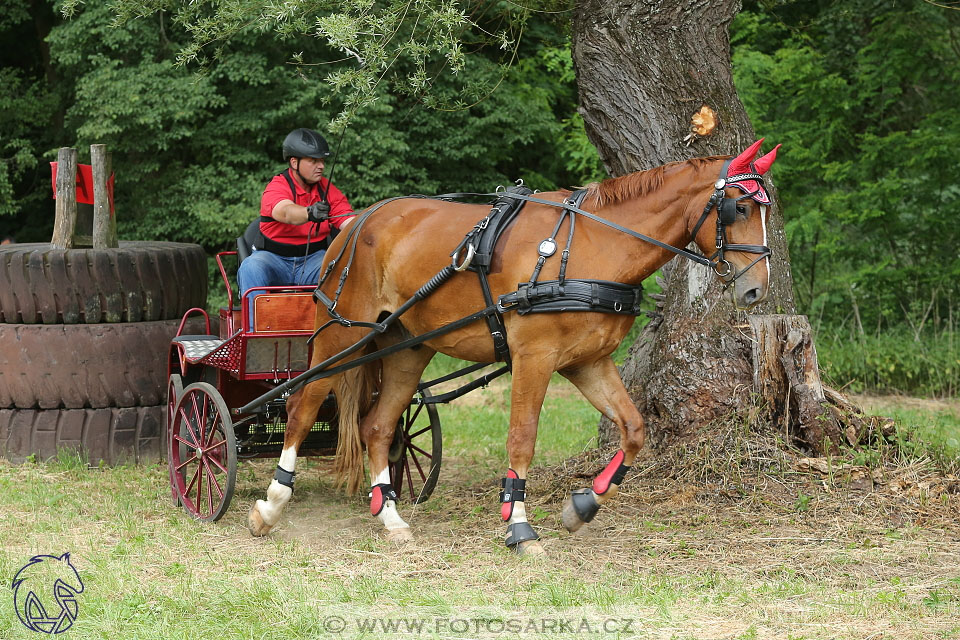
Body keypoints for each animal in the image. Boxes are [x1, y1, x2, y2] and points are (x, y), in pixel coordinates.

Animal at [248, 140, 780, 556]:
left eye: (766, 208)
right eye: (739, 207)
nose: (757, 290)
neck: (592, 244)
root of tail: (355, 222)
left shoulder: (588, 362)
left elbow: (633, 430)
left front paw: (582, 506)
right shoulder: (534, 358)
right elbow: (522, 438)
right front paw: (519, 525)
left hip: (404, 347)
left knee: (376, 426)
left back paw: (391, 518)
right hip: (342, 335)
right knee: (302, 405)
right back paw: (271, 506)